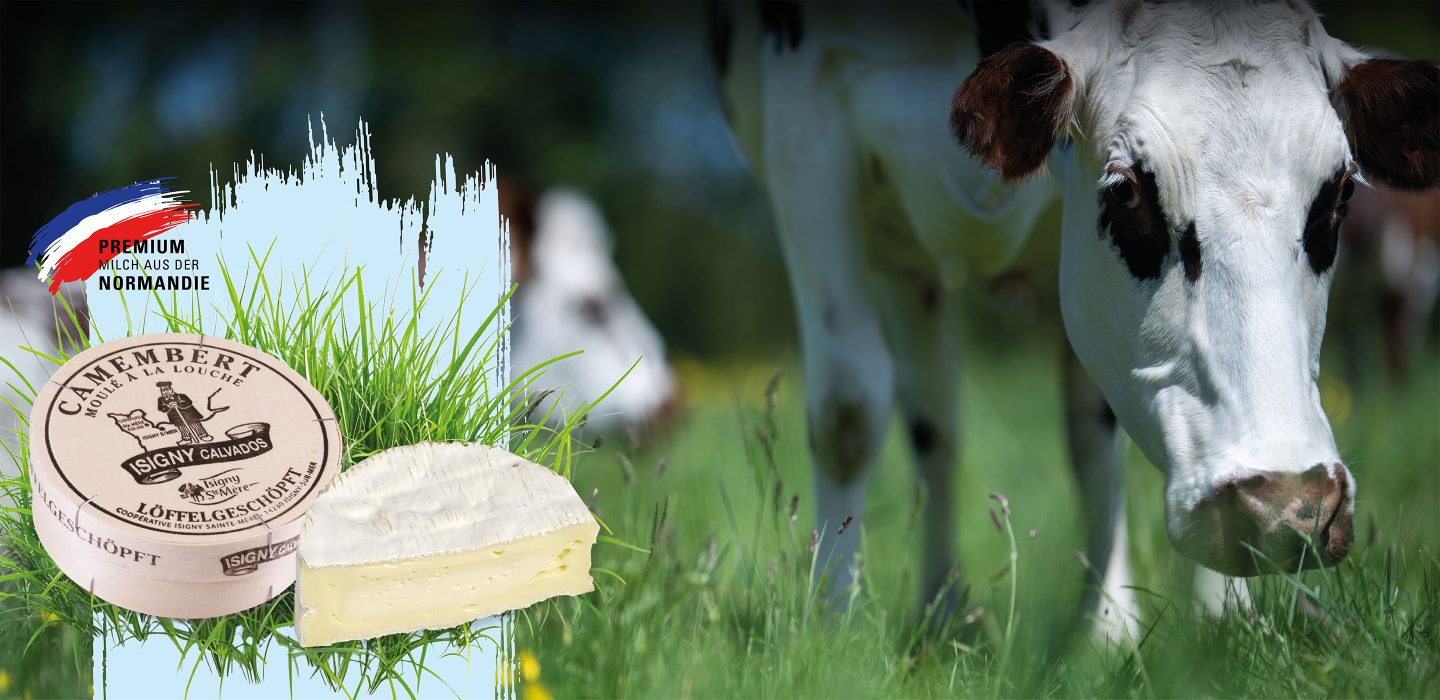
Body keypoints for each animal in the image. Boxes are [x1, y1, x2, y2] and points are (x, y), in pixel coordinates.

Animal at [711, 0, 1440, 636]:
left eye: (1340, 195)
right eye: (1126, 192)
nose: (1286, 508)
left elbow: (1093, 429)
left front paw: (1162, 630)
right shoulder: (807, 121)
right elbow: (847, 413)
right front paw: (831, 624)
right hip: (903, 257)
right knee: (934, 425)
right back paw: (942, 611)